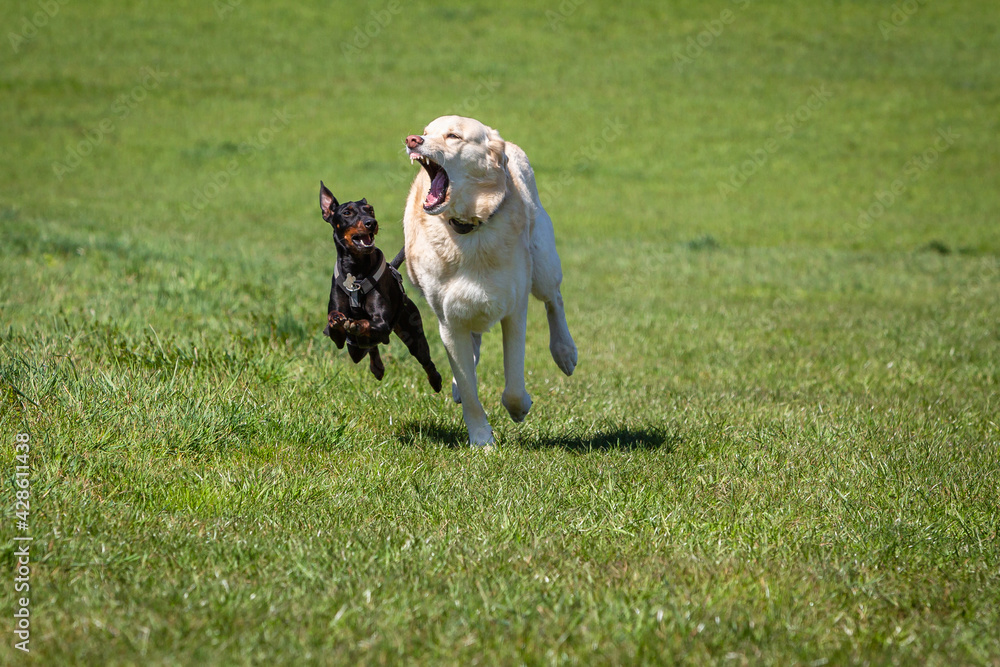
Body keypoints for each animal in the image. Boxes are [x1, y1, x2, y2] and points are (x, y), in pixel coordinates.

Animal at [324, 181, 442, 392]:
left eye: (370, 209)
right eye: (347, 212)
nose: (371, 222)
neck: (356, 270)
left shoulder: (382, 323)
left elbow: (368, 323)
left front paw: (355, 323)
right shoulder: (338, 339)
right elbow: (334, 321)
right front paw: (337, 319)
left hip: (412, 331)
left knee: (424, 358)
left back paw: (435, 380)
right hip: (355, 349)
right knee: (368, 346)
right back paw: (377, 367)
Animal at [402, 117, 580, 446]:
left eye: (453, 136)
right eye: (426, 130)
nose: (412, 140)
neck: (470, 228)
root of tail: (509, 143)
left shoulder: (515, 309)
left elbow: (514, 382)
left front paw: (519, 409)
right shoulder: (449, 321)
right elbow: (469, 388)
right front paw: (482, 440)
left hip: (543, 262)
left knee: (554, 300)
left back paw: (565, 352)